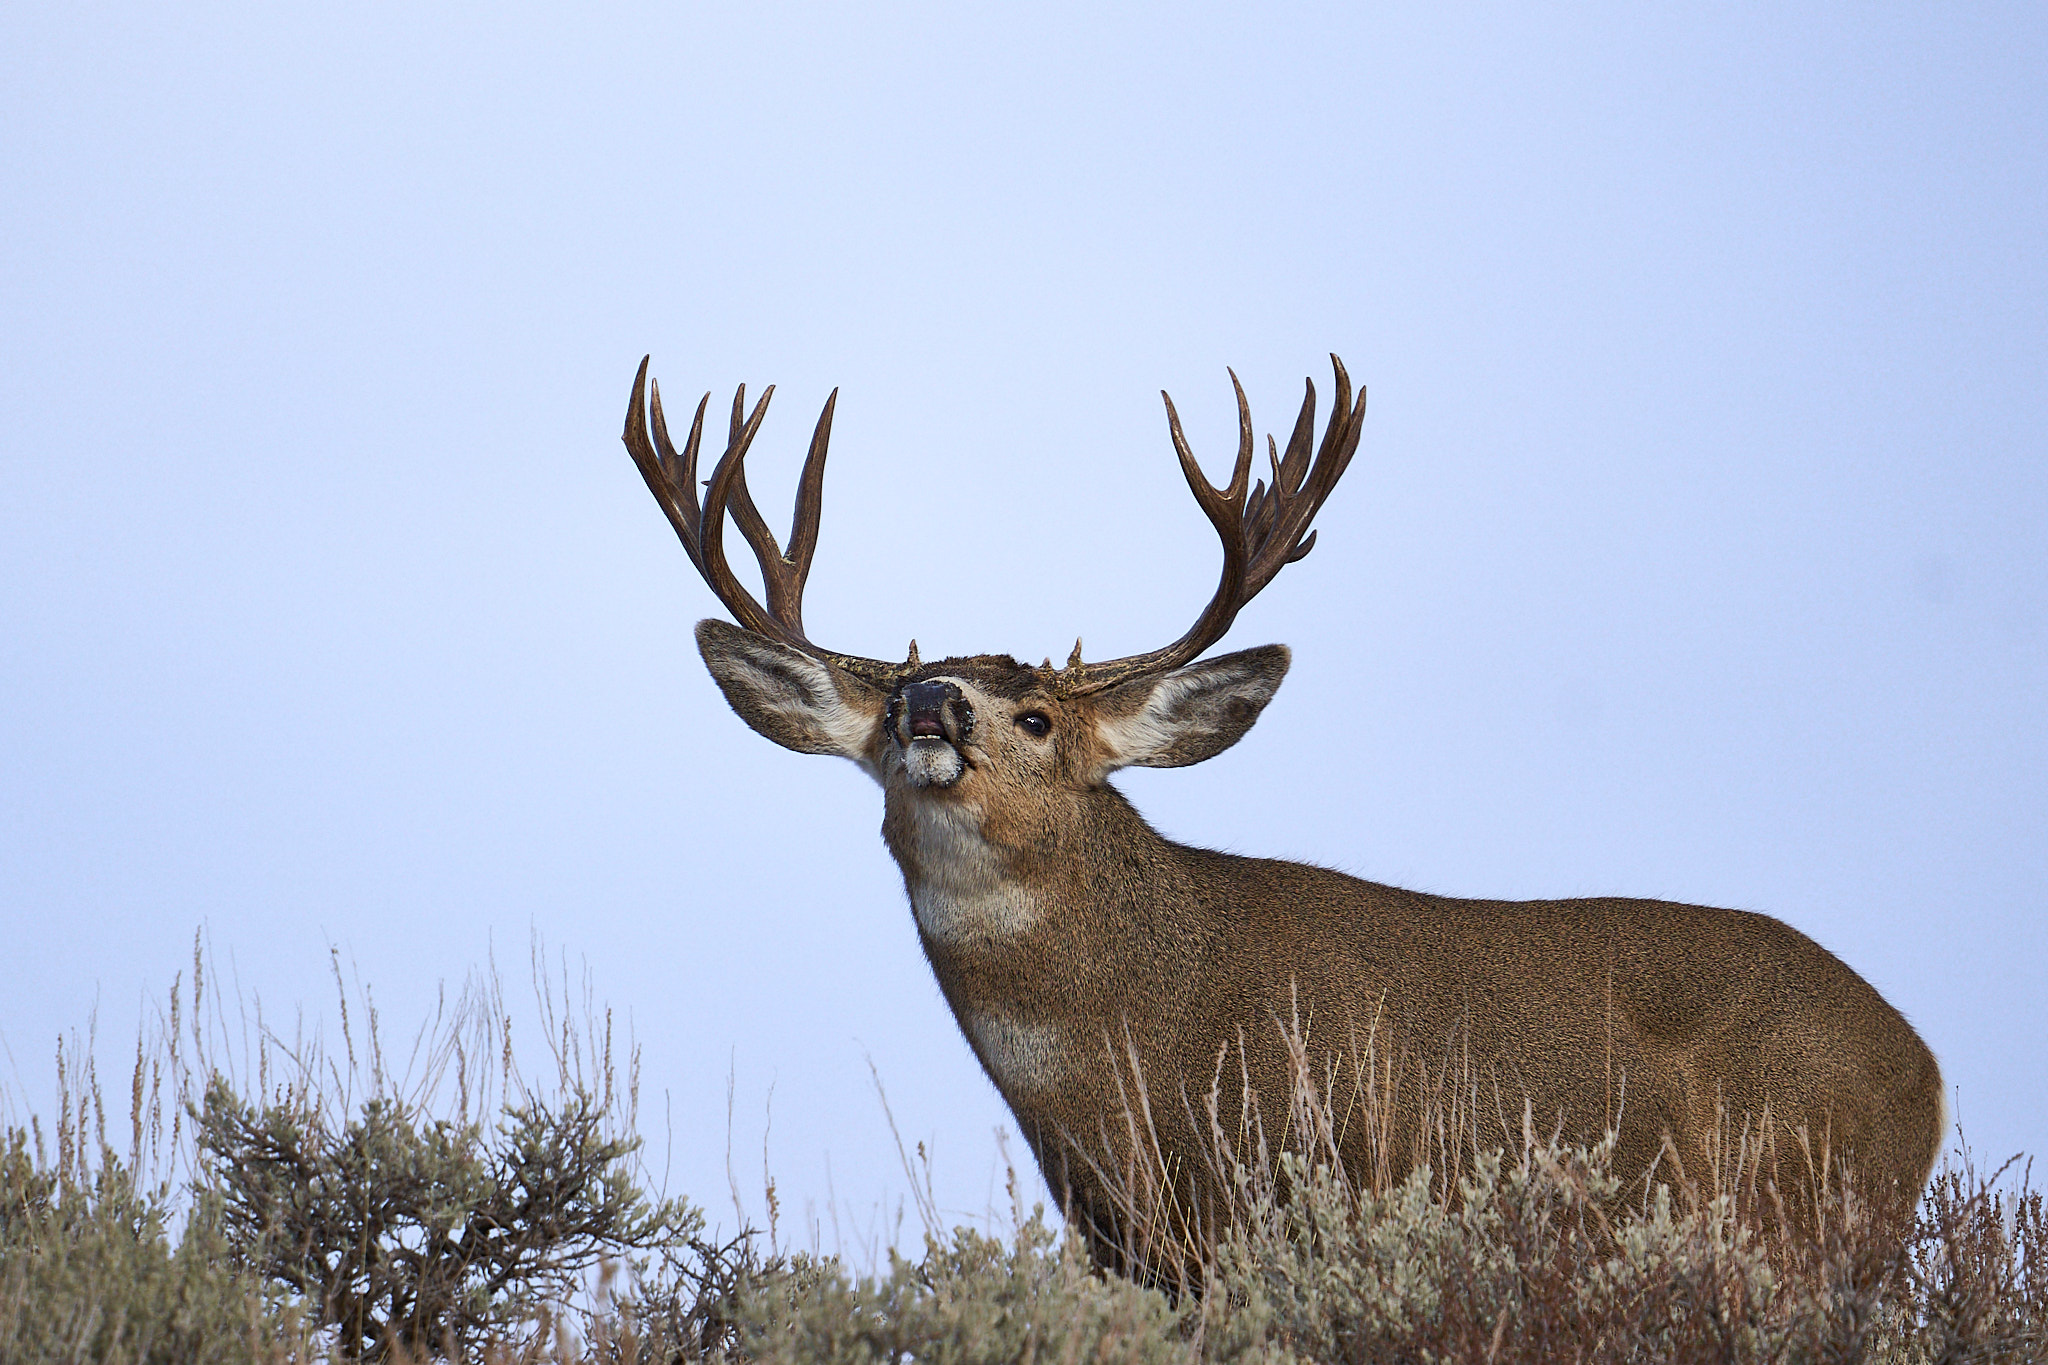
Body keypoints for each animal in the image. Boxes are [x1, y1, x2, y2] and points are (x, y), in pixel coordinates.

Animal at [618, 353, 1945, 1272]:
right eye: (890, 701)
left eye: (1036, 717)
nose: (932, 705)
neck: (1127, 1050)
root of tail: (1924, 1070)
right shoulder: (1125, 1242)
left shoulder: (1302, 1184)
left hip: (1802, 1210)